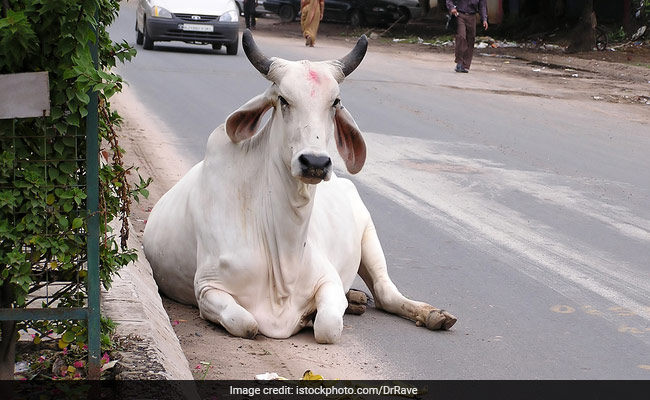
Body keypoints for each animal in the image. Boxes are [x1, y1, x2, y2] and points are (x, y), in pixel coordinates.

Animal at [143, 30, 457, 344]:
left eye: (335, 102)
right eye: (283, 99)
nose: (315, 162)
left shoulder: (328, 279)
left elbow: (328, 326)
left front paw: (313, 315)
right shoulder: (207, 288)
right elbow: (246, 323)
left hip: (368, 234)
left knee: (385, 293)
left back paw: (432, 314)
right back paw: (357, 299)